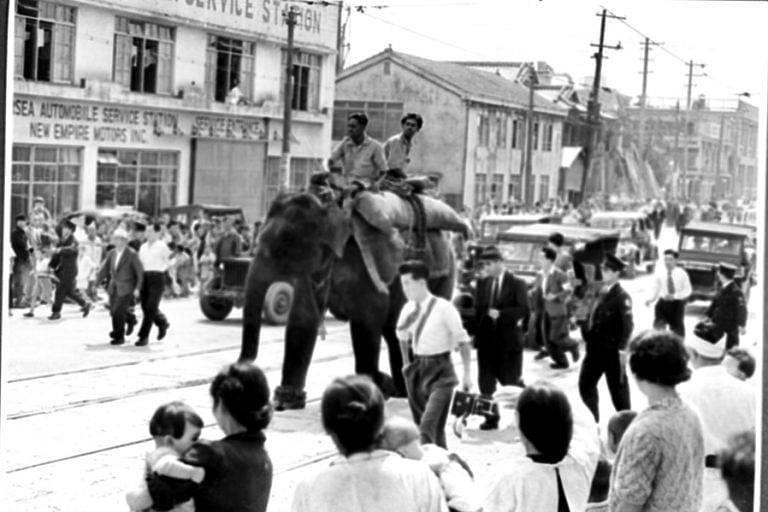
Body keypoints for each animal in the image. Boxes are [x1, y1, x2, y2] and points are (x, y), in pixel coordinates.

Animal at [237, 190, 460, 410]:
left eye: (283, 248)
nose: (240, 369)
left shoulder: (366, 268)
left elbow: (368, 318)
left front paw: (370, 390)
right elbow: (303, 316)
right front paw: (286, 402)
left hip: (444, 274)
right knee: (394, 330)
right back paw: (401, 391)